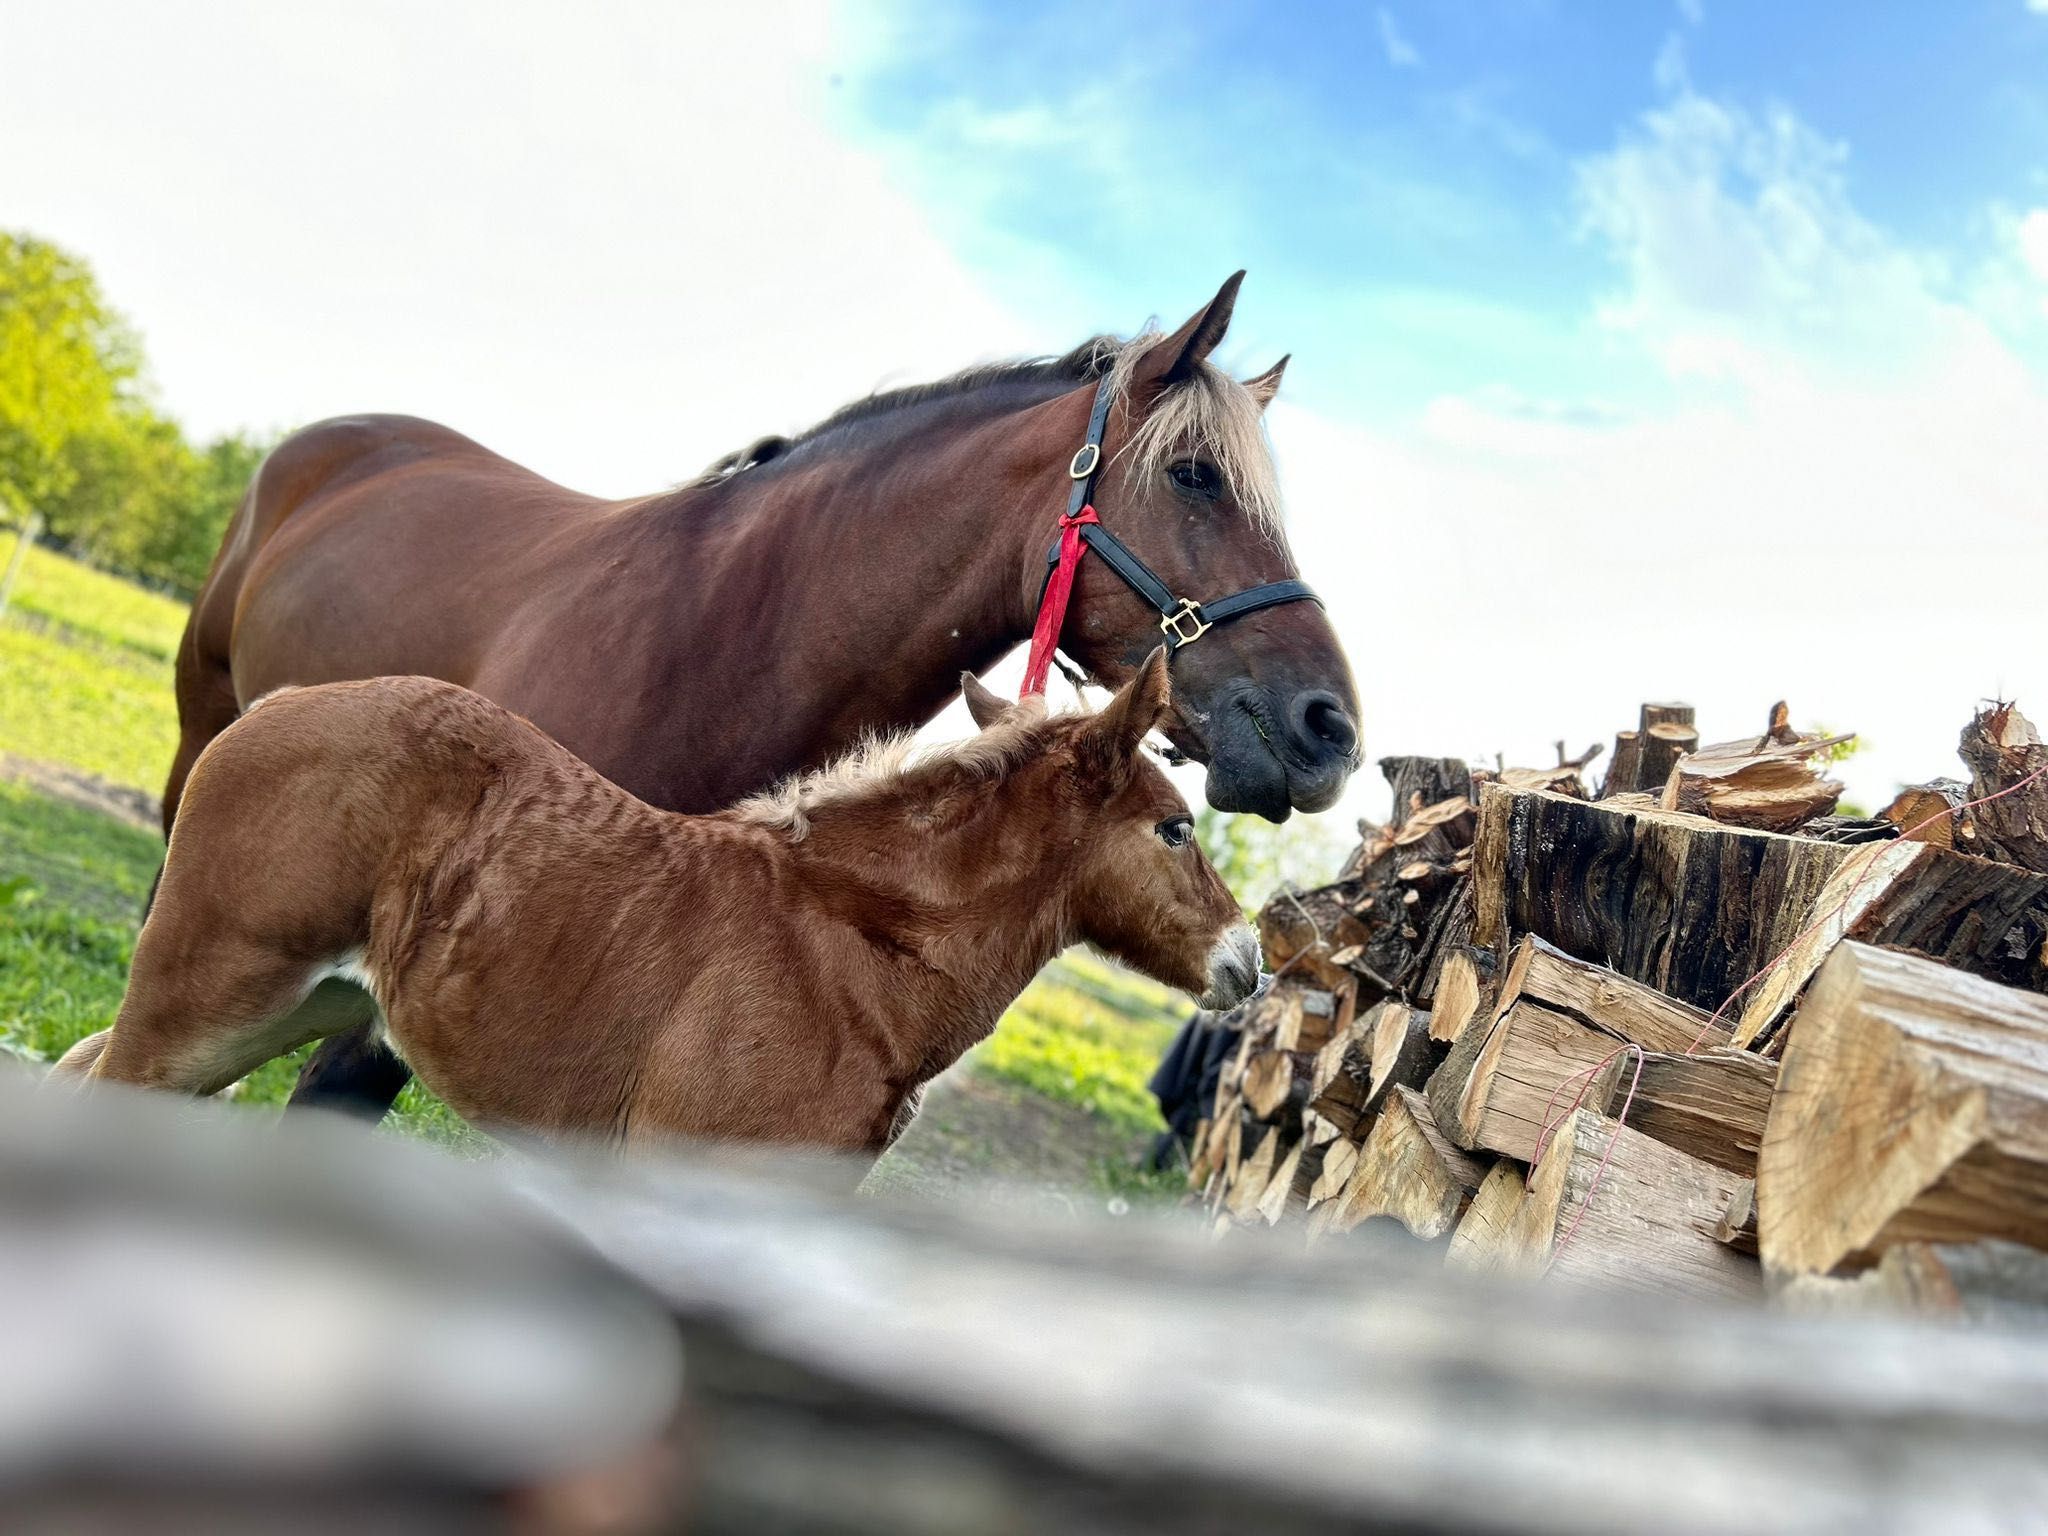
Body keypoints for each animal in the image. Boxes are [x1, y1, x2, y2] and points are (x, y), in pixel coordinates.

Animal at [56, 651, 1253, 1163]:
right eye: (1173, 828)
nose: (1247, 960)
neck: (851, 947)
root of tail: (279, 702)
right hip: (205, 992)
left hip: (277, 1010)